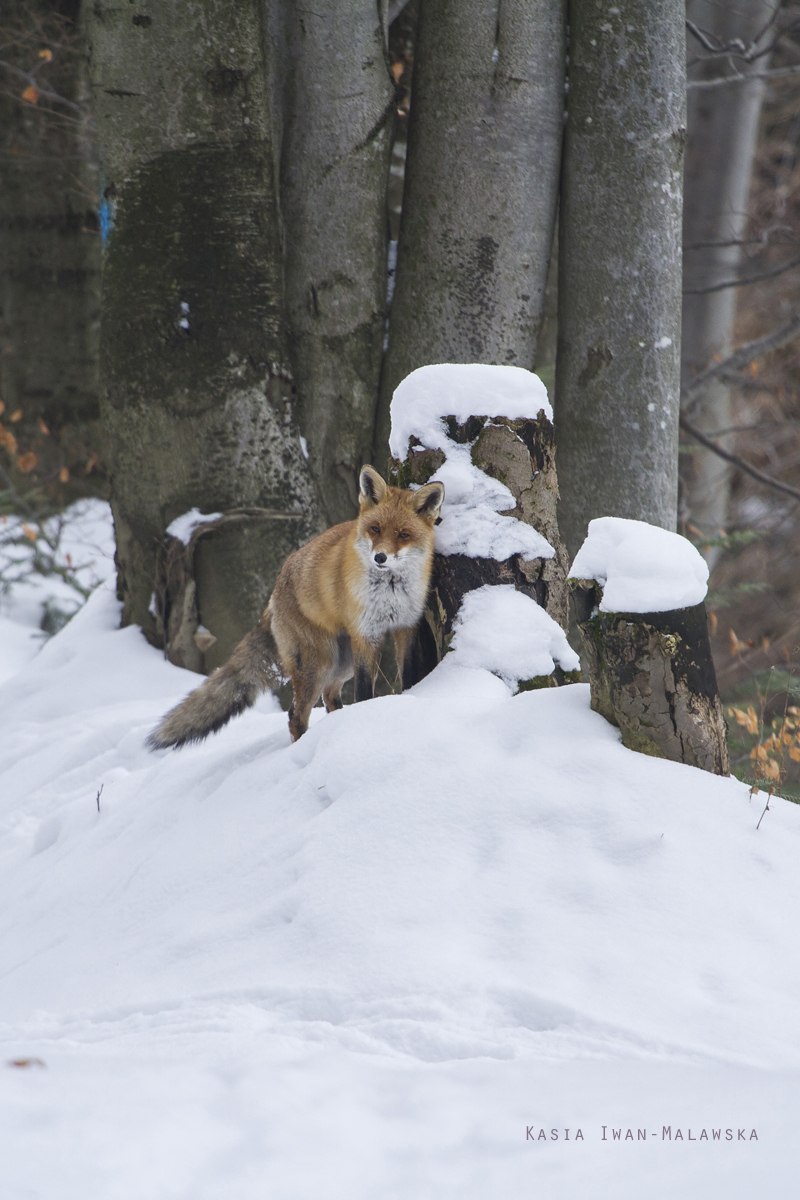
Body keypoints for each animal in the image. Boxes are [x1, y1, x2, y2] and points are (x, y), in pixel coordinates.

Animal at [146, 463, 441, 744]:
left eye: (403, 535)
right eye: (375, 529)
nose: (380, 557)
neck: (390, 591)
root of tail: (273, 596)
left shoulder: (407, 626)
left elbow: (410, 673)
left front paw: (410, 698)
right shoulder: (365, 635)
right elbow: (364, 691)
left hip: (341, 662)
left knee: (329, 696)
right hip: (320, 663)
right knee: (296, 714)